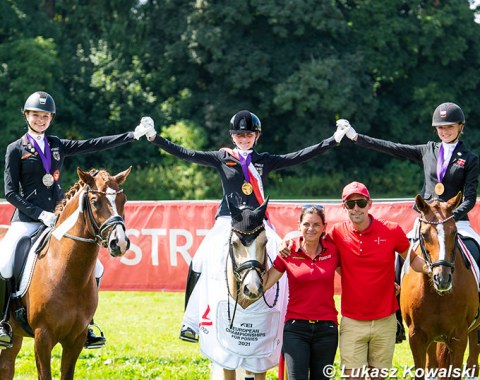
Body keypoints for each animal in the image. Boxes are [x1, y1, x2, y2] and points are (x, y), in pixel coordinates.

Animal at [0, 168, 131, 378]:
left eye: (123, 200)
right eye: (95, 201)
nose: (119, 243)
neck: (67, 271)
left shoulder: (76, 338)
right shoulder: (42, 337)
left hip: (15, 335)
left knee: (6, 366)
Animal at [402, 193, 480, 380]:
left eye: (455, 232)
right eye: (423, 234)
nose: (442, 279)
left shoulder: (459, 337)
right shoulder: (416, 336)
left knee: (473, 360)